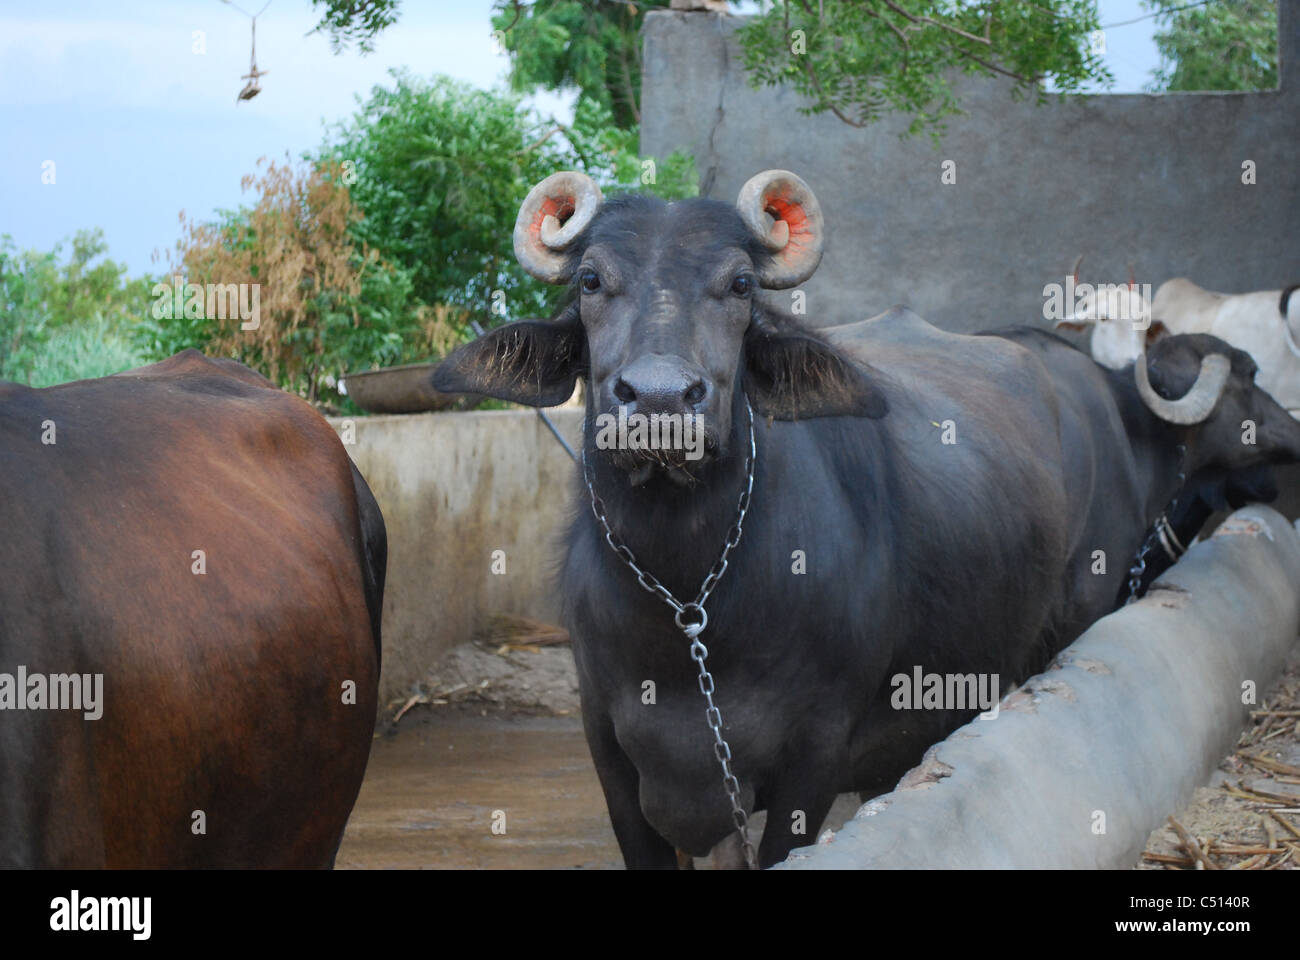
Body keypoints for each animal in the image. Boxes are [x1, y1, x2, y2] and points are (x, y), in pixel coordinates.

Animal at [434, 170, 1300, 868]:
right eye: (590, 279)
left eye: (740, 284)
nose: (657, 399)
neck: (687, 599)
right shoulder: (611, 752)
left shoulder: (811, 757)